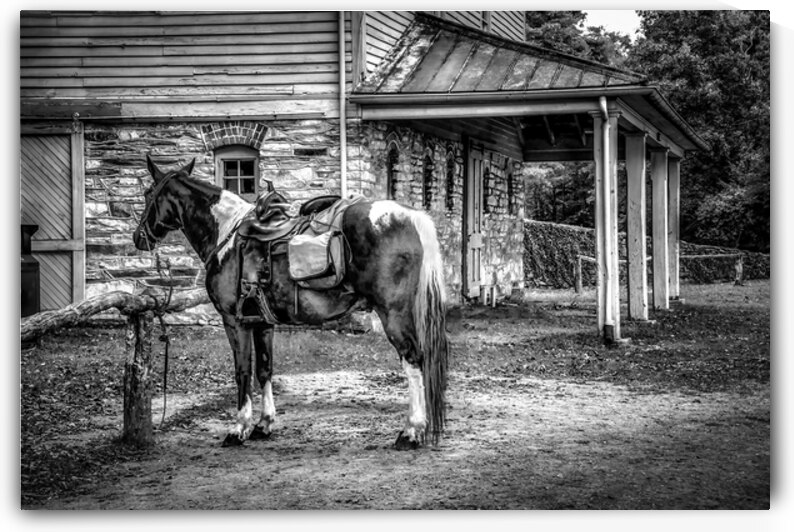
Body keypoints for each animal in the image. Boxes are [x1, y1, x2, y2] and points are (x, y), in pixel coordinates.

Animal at [132, 156, 449, 449]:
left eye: (148, 193)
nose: (138, 237)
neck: (226, 234)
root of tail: (410, 217)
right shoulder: (262, 323)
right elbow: (264, 369)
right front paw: (264, 424)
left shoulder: (234, 321)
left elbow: (242, 372)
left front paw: (238, 428)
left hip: (393, 314)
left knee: (413, 360)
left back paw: (411, 432)